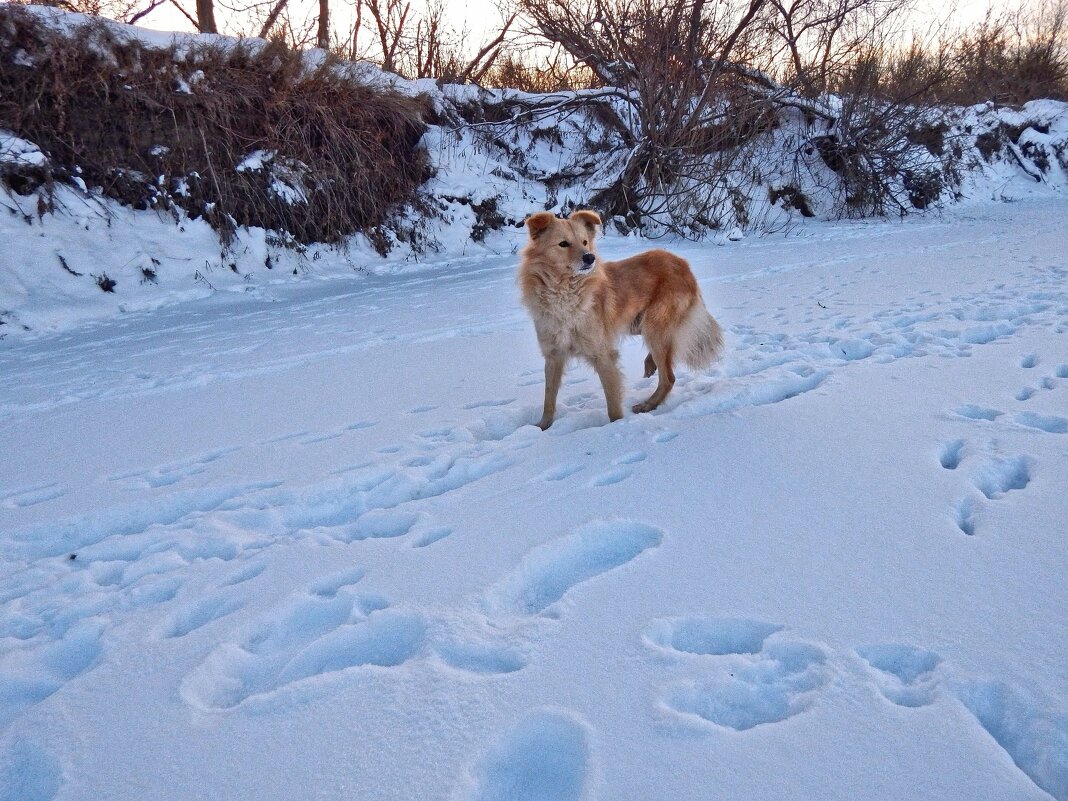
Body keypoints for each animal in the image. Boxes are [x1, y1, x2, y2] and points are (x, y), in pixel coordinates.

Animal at [514, 210, 717, 429]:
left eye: (585, 242)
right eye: (563, 244)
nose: (590, 257)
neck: (565, 292)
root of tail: (682, 263)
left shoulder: (603, 355)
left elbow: (612, 400)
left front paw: (616, 426)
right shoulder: (553, 356)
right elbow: (549, 397)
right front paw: (542, 426)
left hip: (655, 326)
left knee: (669, 377)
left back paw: (648, 405)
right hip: (638, 325)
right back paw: (650, 365)